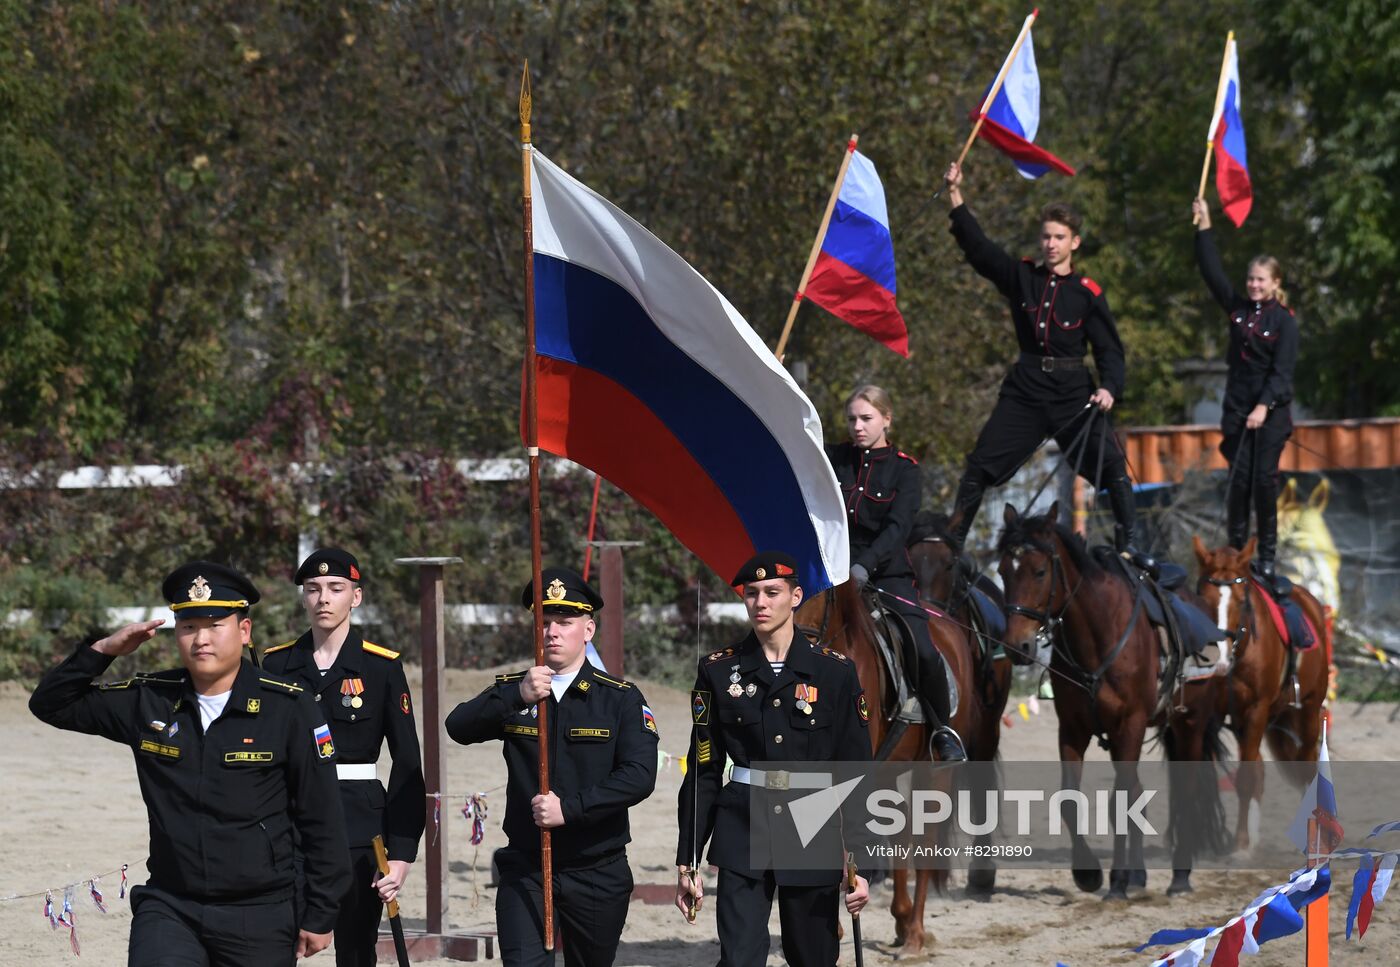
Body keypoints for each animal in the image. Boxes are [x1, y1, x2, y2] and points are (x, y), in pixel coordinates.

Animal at [795, 573, 991, 951]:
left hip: (931, 771)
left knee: (924, 841)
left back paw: (914, 932)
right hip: (889, 769)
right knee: (899, 830)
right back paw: (901, 920)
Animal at [996, 506, 1226, 901]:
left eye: (1039, 571)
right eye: (1001, 571)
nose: (1017, 646)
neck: (1098, 635)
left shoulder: (1129, 725)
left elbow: (1122, 800)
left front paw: (1116, 882)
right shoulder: (1072, 729)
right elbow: (1070, 798)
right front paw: (1089, 873)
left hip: (1190, 724)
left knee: (1184, 790)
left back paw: (1179, 877)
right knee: (1138, 790)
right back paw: (1139, 876)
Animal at [1192, 534, 1332, 850]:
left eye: (1241, 601)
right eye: (1202, 597)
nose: (1217, 658)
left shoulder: (1257, 709)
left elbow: (1245, 777)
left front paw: (1240, 845)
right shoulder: (1219, 716)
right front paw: (1241, 839)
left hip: (1307, 710)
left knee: (1307, 765)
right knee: (1261, 768)